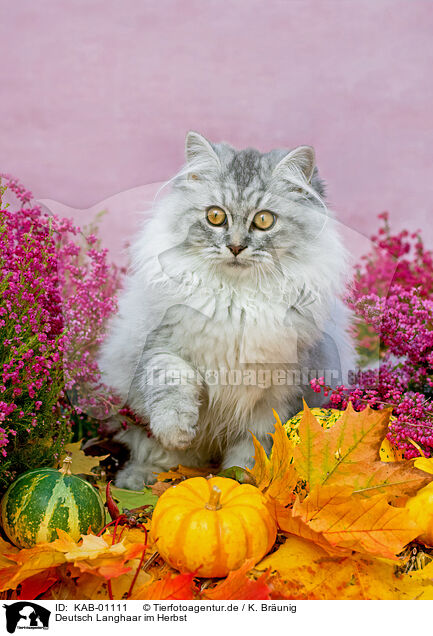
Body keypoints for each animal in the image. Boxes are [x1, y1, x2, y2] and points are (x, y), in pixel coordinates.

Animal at [99, 132, 352, 490]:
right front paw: (179, 431)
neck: (236, 300)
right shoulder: (162, 345)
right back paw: (140, 480)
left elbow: (255, 449)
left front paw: (243, 483)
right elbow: (171, 388)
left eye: (264, 220)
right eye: (215, 217)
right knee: (155, 455)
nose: (235, 247)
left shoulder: (277, 393)